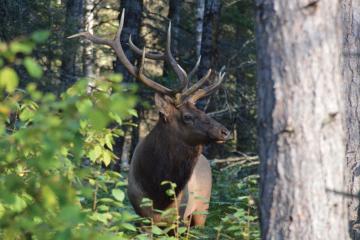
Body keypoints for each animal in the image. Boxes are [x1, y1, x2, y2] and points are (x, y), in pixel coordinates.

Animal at [69, 9, 229, 227]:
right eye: (187, 116)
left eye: (202, 111)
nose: (225, 131)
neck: (157, 190)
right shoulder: (141, 214)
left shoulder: (179, 215)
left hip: (201, 211)